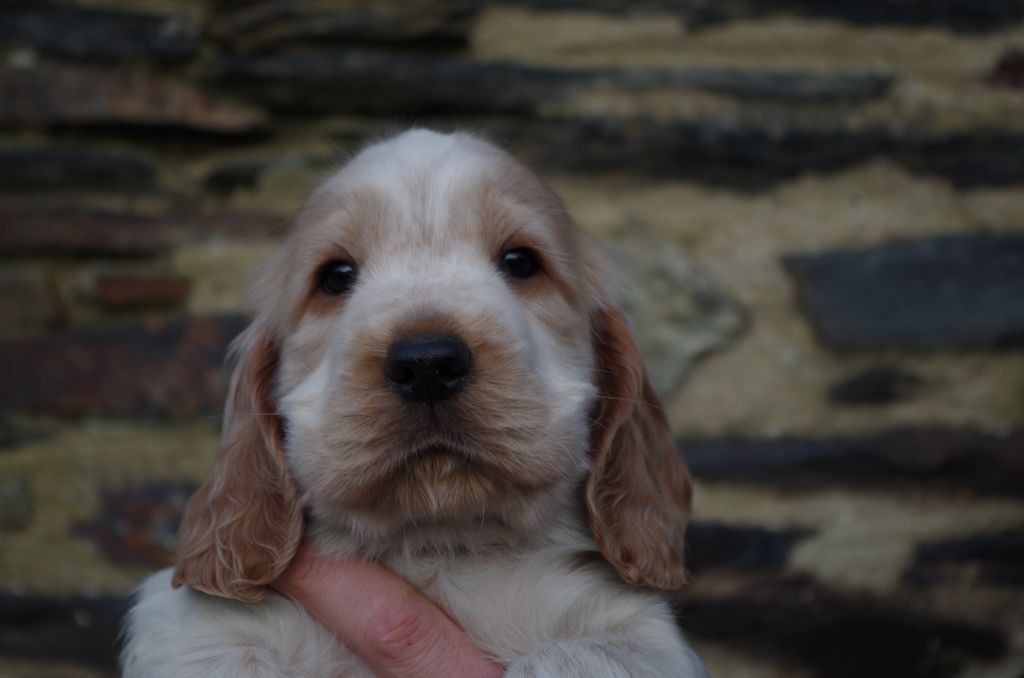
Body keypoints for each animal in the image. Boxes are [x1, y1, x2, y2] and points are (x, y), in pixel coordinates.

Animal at [121, 130, 704, 675]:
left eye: (521, 262)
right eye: (335, 276)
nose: (426, 363)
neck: (439, 548)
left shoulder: (636, 632)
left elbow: (577, 655)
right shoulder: (198, 635)